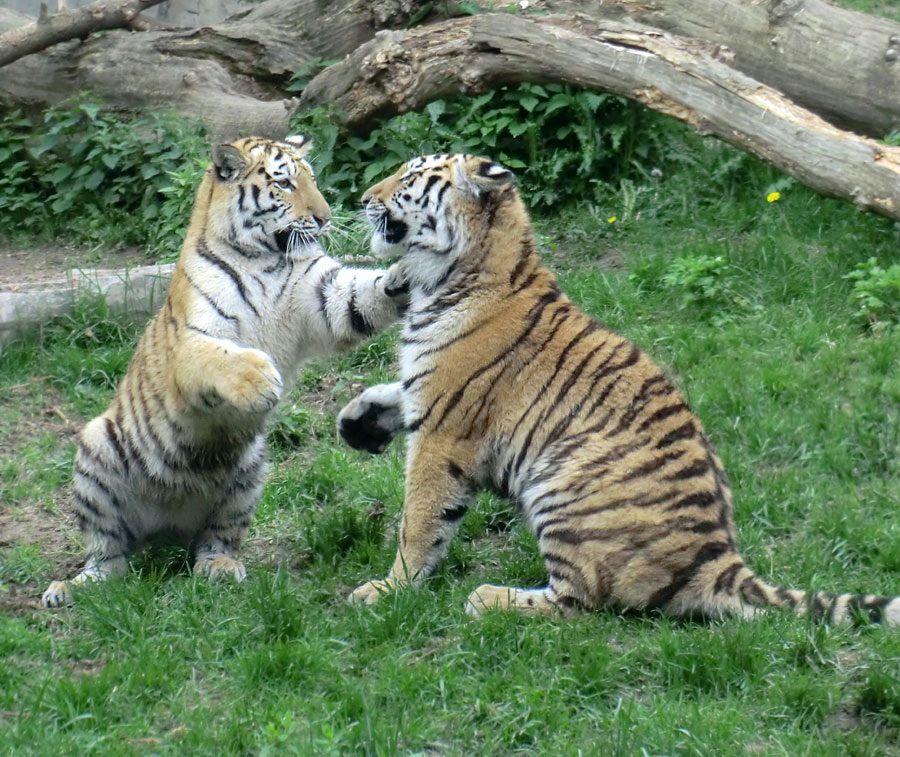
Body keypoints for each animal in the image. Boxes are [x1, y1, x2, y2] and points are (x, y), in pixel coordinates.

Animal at [41, 134, 408, 608]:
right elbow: (220, 357)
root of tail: (165, 528)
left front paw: (407, 274)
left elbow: (364, 293)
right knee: (109, 553)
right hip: (96, 448)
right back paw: (74, 587)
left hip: (249, 470)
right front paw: (260, 378)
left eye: (311, 178)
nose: (325, 219)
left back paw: (219, 567)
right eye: (284, 183)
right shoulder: (195, 336)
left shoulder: (324, 297)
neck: (266, 259)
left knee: (215, 538)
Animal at [340, 154, 900, 628]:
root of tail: (719, 558)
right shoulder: (425, 395)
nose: (363, 197)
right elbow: (390, 392)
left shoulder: (443, 432)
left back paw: (490, 599)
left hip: (558, 481)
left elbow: (418, 522)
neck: (448, 278)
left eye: (410, 177)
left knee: (582, 600)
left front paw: (387, 590)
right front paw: (357, 422)